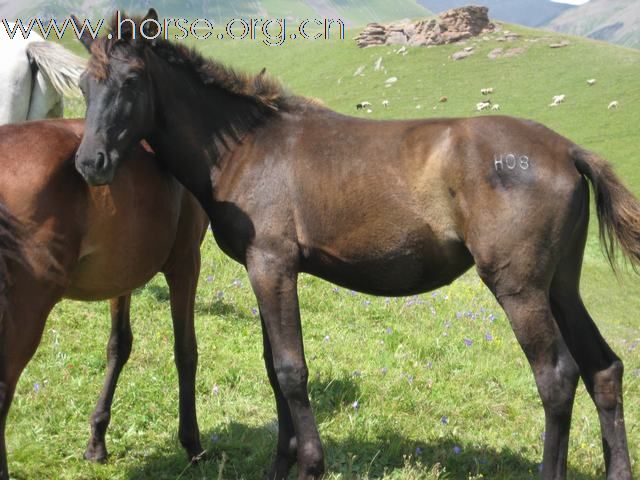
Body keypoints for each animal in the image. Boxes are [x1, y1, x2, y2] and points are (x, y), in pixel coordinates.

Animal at [0, 117, 208, 480]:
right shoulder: (185, 263)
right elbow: (185, 351)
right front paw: (192, 444)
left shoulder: (122, 275)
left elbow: (119, 345)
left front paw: (97, 440)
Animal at [72, 10, 636, 480]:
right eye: (83, 83)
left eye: (130, 80)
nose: (90, 163)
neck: (246, 148)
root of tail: (567, 150)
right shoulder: (264, 270)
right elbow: (273, 367)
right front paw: (281, 463)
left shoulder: (272, 266)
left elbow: (291, 369)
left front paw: (310, 464)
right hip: (560, 286)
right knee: (603, 368)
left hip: (519, 287)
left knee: (557, 377)